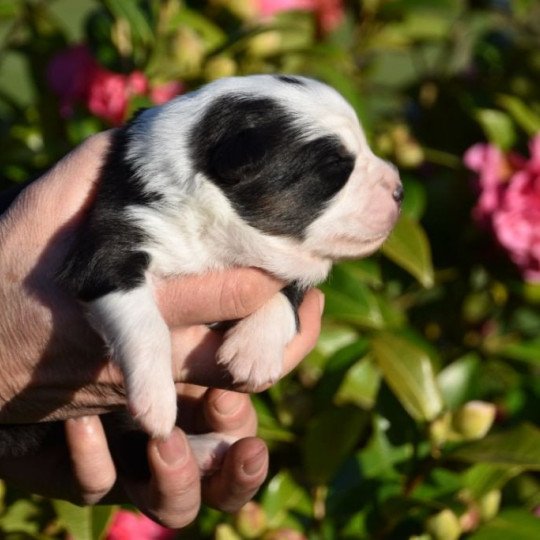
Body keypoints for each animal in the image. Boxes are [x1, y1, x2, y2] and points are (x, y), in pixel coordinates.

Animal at [0, 74, 398, 466]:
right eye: (336, 169)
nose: (399, 189)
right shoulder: (108, 246)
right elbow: (146, 324)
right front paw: (157, 402)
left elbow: (286, 291)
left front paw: (254, 350)